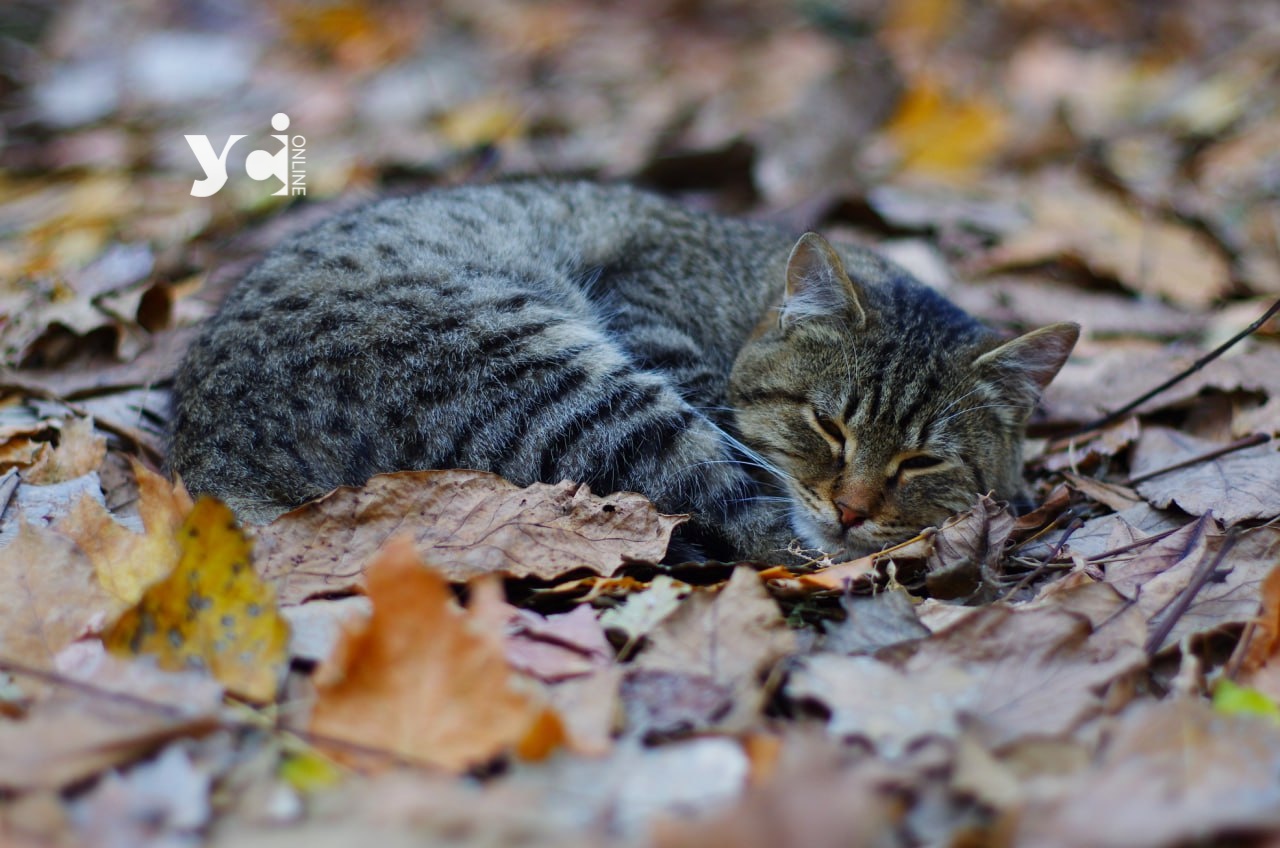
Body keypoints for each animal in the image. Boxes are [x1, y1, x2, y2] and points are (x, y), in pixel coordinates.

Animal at [165, 179, 1075, 563]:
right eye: (827, 425)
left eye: (923, 460)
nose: (851, 510)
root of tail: (208, 462)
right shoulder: (651, 321)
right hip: (565, 378)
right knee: (751, 525)